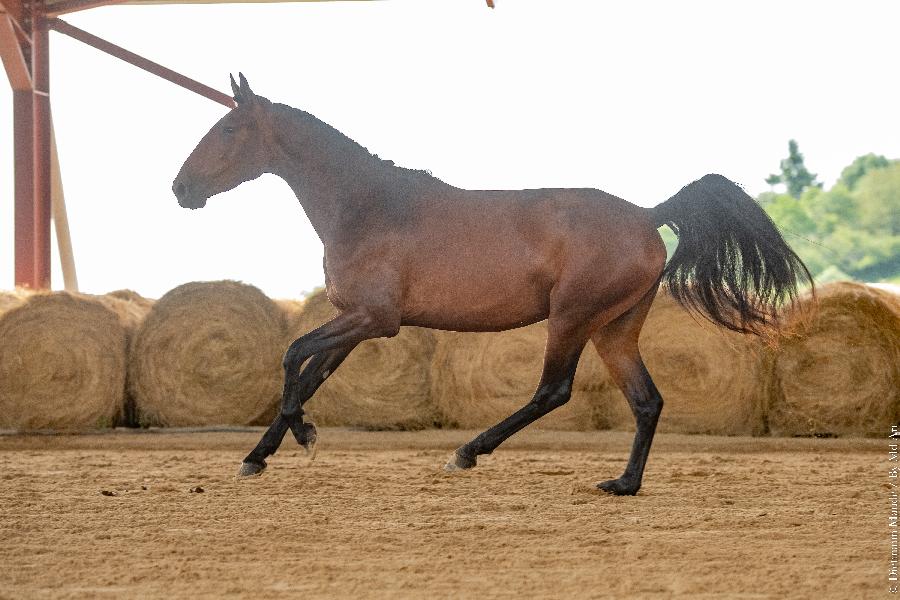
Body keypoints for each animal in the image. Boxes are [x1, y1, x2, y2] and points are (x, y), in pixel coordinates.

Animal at [172, 75, 812, 494]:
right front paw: (260, 455)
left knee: (553, 391)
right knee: (647, 400)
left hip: (572, 318)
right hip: (614, 329)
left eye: (229, 128)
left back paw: (467, 452)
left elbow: (291, 356)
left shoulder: (373, 319)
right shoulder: (356, 324)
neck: (367, 206)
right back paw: (622, 484)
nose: (180, 188)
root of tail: (647, 215)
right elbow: (307, 375)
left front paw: (301, 436)